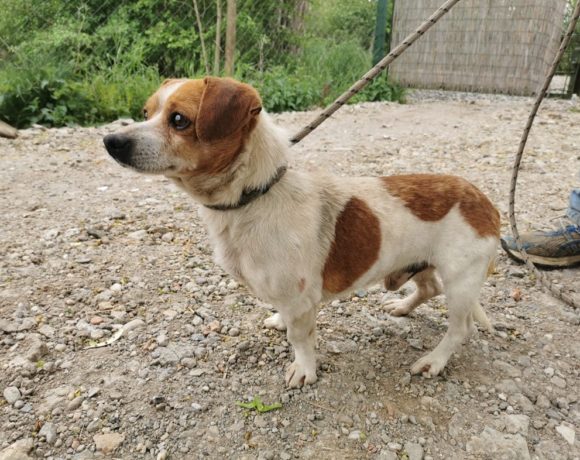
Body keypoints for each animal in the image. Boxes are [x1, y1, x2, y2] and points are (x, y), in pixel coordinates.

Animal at [103, 77, 500, 387]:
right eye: (146, 113)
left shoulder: (299, 299)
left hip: (461, 282)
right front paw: (280, 323)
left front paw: (304, 369)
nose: (111, 141)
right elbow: (287, 320)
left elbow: (301, 338)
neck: (254, 197)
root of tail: (483, 201)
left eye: (179, 120)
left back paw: (434, 360)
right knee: (429, 288)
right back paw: (402, 307)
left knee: (460, 328)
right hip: (420, 263)